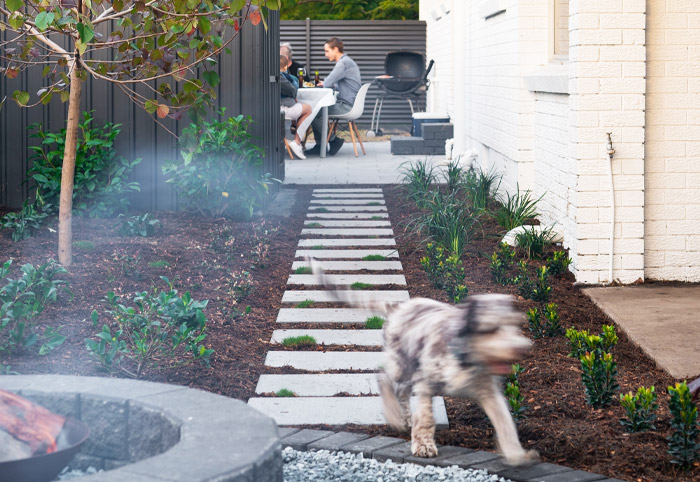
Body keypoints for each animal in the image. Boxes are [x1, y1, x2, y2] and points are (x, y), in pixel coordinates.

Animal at [308, 258, 540, 466]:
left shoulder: (488, 392)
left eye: (515, 325)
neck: (466, 359)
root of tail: (398, 307)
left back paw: (405, 417)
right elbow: (426, 419)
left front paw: (516, 454)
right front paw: (424, 446)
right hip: (401, 364)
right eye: (492, 328)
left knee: (401, 392)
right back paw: (394, 416)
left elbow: (505, 422)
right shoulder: (426, 383)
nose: (522, 348)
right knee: (384, 378)